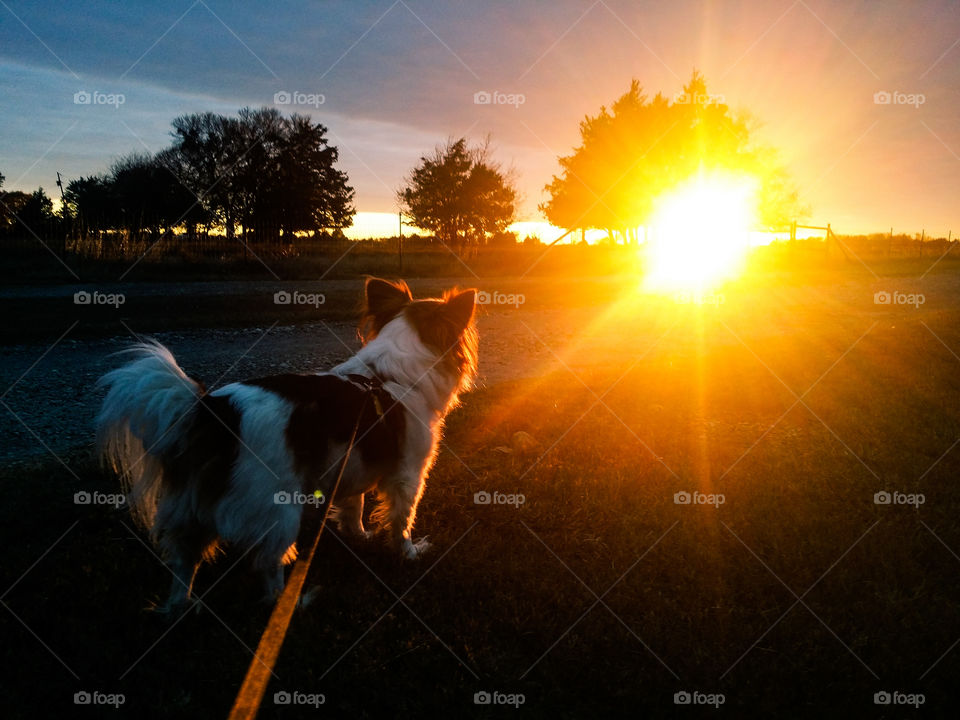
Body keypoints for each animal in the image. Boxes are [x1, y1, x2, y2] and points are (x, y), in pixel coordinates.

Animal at [95, 278, 478, 612]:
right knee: (268, 563)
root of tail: (212, 411)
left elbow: (353, 506)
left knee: (185, 558)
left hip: (192, 507)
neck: (387, 376)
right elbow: (402, 519)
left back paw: (182, 605)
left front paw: (360, 536)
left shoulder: (351, 464)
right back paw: (288, 602)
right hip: (279, 508)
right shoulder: (408, 473)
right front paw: (409, 553)